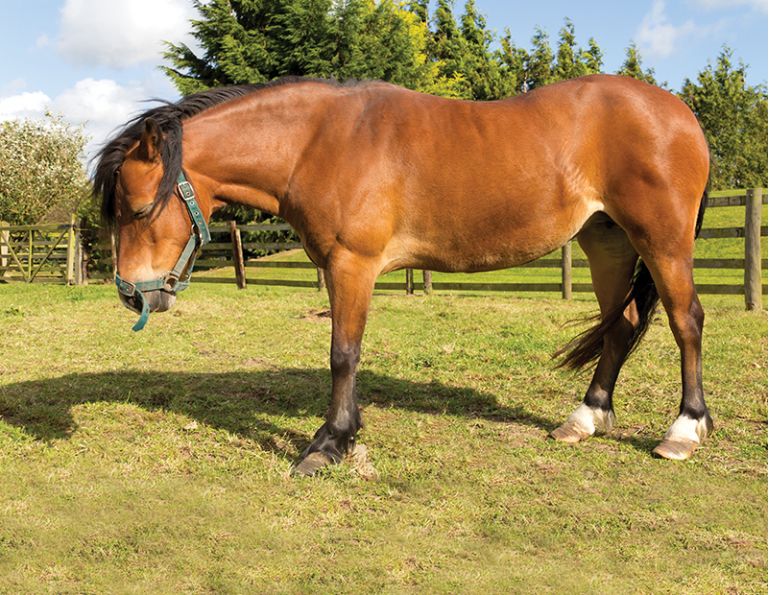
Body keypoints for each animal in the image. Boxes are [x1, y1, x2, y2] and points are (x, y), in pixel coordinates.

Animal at [94, 74, 712, 475]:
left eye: (139, 209)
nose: (130, 295)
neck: (318, 142)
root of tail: (680, 112)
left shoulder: (353, 265)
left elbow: (343, 354)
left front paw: (329, 443)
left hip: (662, 241)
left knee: (686, 320)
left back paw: (682, 431)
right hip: (606, 241)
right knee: (621, 325)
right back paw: (585, 418)